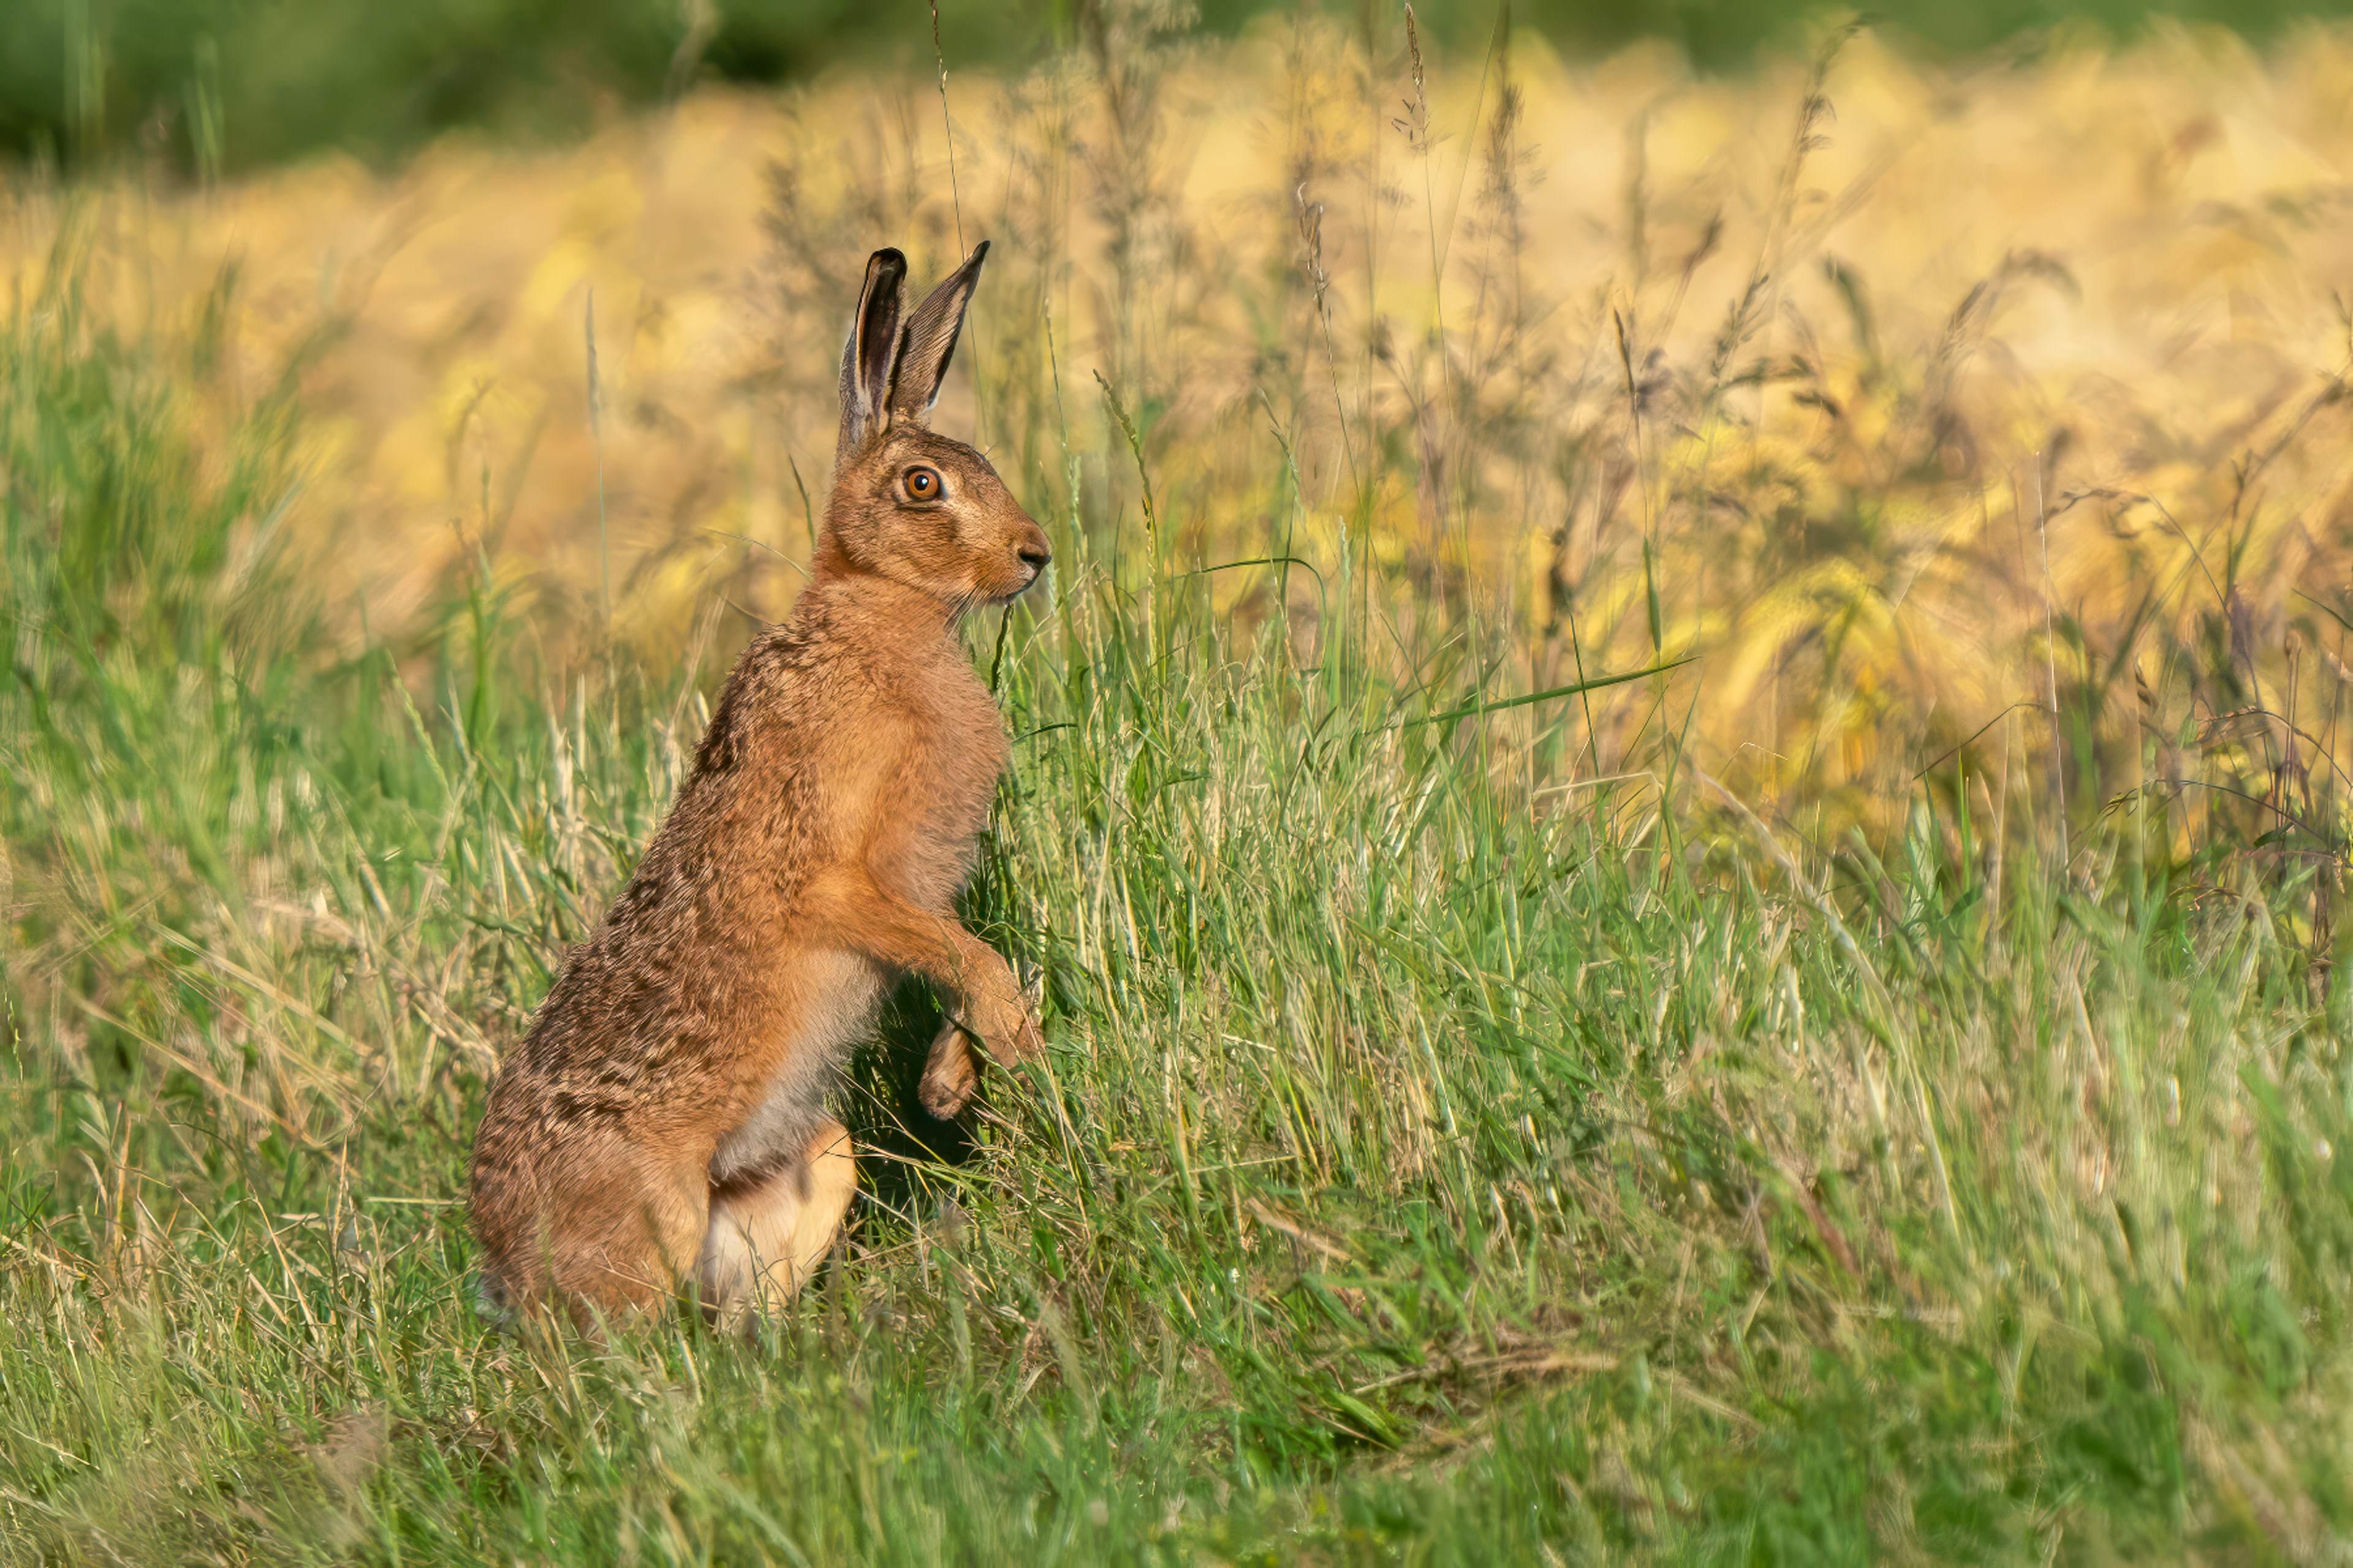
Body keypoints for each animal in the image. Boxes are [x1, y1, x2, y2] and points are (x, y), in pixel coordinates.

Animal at [468, 241, 1049, 1324]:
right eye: (923, 484)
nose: (1035, 555)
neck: (881, 620)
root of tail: (502, 1262)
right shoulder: (836, 877)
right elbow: (966, 955)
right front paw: (1016, 1036)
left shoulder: (923, 890)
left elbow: (957, 955)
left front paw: (949, 1081)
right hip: (649, 1216)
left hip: (822, 1156)